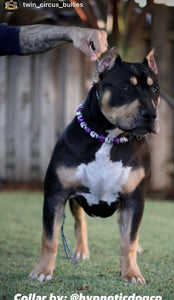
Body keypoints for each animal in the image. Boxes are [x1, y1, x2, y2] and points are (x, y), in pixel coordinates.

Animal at [28, 47, 160, 284]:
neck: (108, 138)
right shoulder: (56, 194)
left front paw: (131, 273)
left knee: (126, 230)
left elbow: (129, 240)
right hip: (74, 201)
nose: (151, 115)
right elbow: (49, 238)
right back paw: (81, 250)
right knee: (81, 223)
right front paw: (42, 270)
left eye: (155, 90)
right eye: (126, 88)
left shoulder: (134, 199)